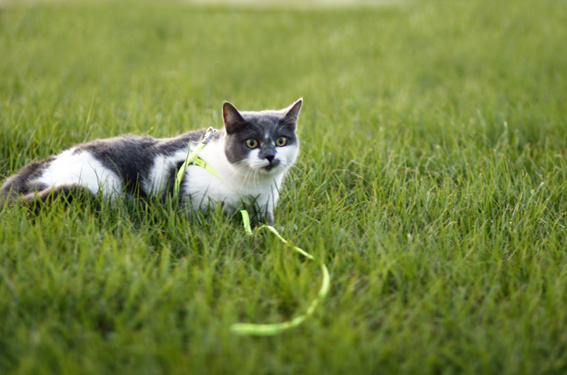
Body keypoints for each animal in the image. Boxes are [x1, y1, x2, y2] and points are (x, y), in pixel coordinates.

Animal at [1, 98, 302, 225]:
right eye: (251, 143)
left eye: (281, 141)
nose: (270, 155)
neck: (251, 187)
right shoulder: (187, 191)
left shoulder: (265, 208)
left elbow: (270, 224)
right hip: (101, 184)